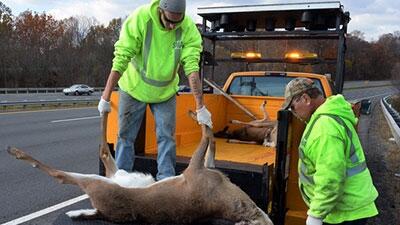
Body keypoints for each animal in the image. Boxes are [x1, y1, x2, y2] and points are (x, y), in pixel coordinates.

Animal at [7, 111, 276, 224]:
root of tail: (102, 213)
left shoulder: (195, 169)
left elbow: (207, 135)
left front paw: (199, 114)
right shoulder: (203, 166)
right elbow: (211, 141)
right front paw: (197, 111)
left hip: (99, 182)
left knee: (64, 172)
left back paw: (15, 151)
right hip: (114, 175)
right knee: (105, 150)